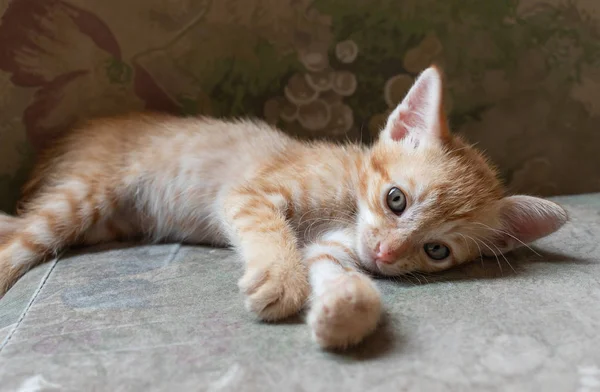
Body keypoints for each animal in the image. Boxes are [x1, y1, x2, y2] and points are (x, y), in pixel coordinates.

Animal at [0, 66, 564, 350]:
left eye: (437, 250)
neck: (349, 199)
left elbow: (331, 269)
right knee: (20, 237)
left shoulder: (333, 248)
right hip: (80, 198)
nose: (385, 255)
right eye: (396, 199)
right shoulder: (247, 194)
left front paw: (347, 310)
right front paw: (280, 278)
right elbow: (269, 228)